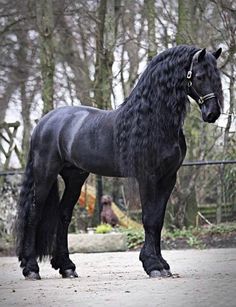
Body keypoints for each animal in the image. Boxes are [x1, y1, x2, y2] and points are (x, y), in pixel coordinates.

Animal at [15, 44, 223, 280]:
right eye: (199, 76)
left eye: (217, 76)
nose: (213, 113)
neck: (153, 121)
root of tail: (44, 122)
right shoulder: (147, 177)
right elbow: (149, 218)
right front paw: (153, 265)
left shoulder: (168, 178)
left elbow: (158, 220)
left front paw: (162, 264)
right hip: (45, 174)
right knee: (34, 214)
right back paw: (31, 268)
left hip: (75, 177)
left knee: (63, 215)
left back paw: (67, 266)